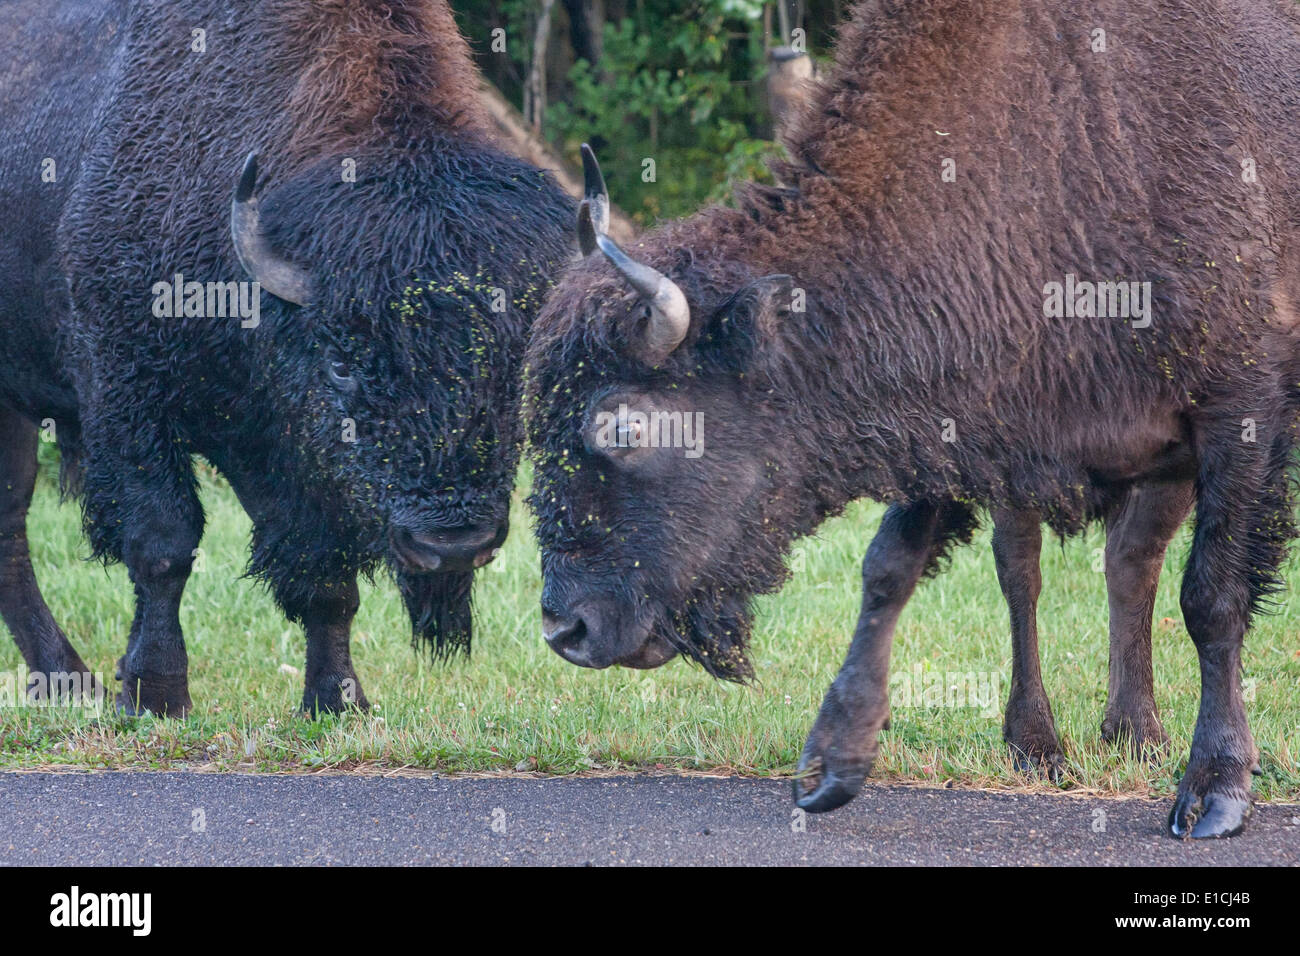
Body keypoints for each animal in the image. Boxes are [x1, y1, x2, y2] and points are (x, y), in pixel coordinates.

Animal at [0, 0, 572, 717]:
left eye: (515, 368)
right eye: (342, 364)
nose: (451, 543)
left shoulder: (283, 447)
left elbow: (325, 577)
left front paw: (338, 699)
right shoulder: (128, 393)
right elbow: (163, 543)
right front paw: (155, 693)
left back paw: (64, 679)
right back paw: (72, 679)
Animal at [525, 0, 1300, 837]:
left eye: (624, 427)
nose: (565, 628)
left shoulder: (1239, 416)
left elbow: (1212, 597)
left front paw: (1216, 791)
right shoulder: (955, 417)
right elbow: (889, 570)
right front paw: (833, 760)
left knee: (1138, 565)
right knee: (1103, 563)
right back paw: (1107, 737)